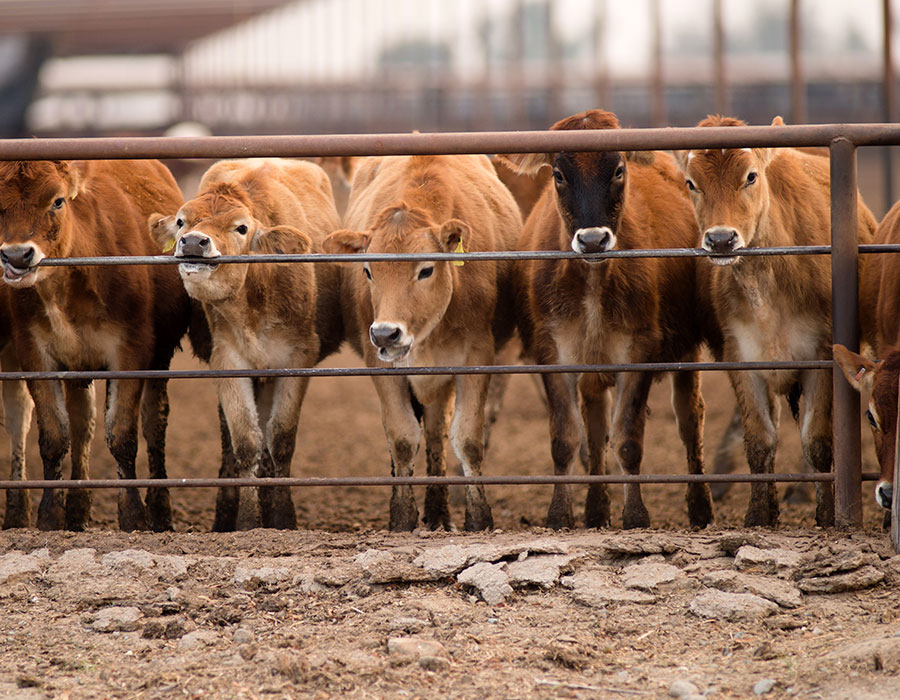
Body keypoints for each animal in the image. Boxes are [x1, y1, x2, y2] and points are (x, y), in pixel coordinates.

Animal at [0, 159, 188, 532]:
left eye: (58, 201)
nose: (17, 255)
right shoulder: (33, 352)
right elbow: (55, 436)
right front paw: (50, 516)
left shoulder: (131, 351)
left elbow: (122, 435)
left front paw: (133, 516)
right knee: (72, 422)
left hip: (159, 357)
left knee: (154, 423)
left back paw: (160, 511)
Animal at [151, 159, 342, 532]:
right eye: (181, 221)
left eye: (241, 228)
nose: (193, 242)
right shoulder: (226, 358)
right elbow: (246, 442)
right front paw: (248, 520)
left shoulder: (298, 358)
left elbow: (280, 440)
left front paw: (282, 517)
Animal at [324, 154, 520, 532]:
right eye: (367, 270)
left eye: (426, 270)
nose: (386, 333)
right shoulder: (379, 363)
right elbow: (402, 438)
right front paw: (401, 517)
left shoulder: (476, 355)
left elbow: (467, 439)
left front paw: (479, 518)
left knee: (435, 431)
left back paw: (439, 511)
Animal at [506, 109, 716, 528]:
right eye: (559, 174)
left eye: (619, 170)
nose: (592, 240)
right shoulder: (551, 351)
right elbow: (566, 438)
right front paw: (559, 515)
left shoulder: (640, 350)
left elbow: (628, 438)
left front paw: (635, 515)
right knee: (595, 425)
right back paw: (595, 508)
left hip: (685, 352)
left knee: (689, 420)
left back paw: (700, 507)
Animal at [680, 115, 876, 528]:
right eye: (691, 182)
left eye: (750, 176)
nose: (720, 240)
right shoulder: (740, 357)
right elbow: (760, 438)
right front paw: (759, 513)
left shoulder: (821, 357)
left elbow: (817, 440)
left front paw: (826, 514)